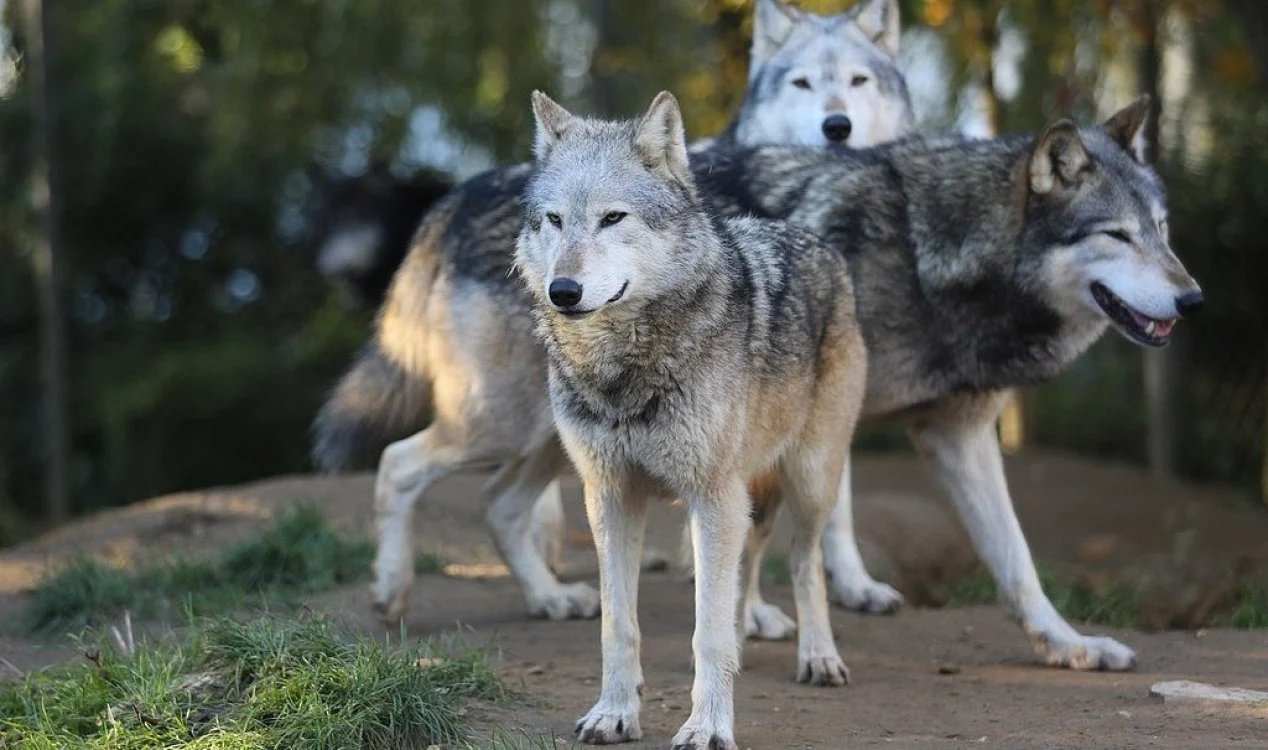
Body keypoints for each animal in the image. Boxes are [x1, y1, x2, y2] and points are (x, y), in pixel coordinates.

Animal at [514, 89, 862, 750]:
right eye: (554, 220)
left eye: (613, 219)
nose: (562, 291)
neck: (622, 369)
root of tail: (815, 241)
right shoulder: (611, 496)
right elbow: (619, 625)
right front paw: (614, 712)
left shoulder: (710, 495)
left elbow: (707, 632)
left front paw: (707, 727)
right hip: (746, 496)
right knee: (746, 569)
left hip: (807, 481)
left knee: (804, 563)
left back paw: (820, 657)